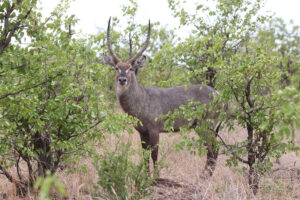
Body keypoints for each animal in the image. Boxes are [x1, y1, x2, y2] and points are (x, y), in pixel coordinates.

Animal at [103, 17, 220, 177]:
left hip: (205, 126)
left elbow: (154, 155)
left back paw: (204, 177)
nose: (122, 80)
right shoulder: (142, 132)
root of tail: (218, 94)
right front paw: (146, 177)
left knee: (213, 151)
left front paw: (156, 178)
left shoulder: (154, 130)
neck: (142, 99)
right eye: (116, 67)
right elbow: (145, 156)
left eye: (131, 68)